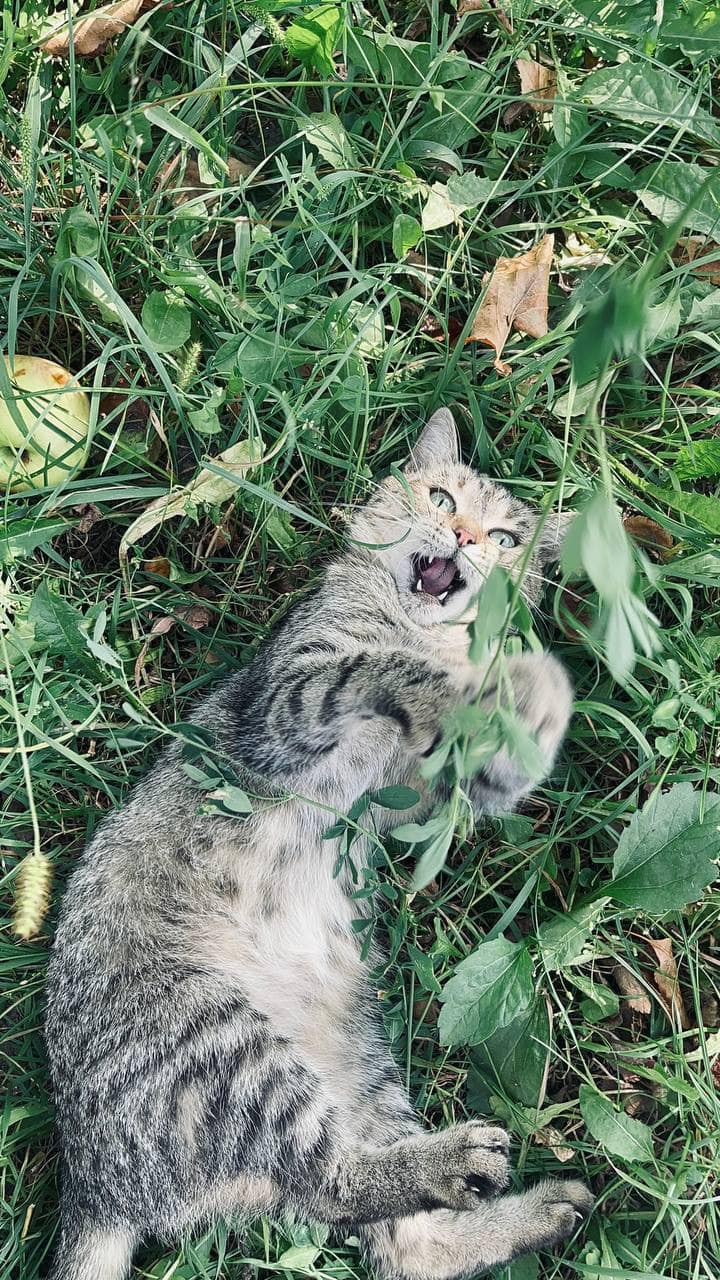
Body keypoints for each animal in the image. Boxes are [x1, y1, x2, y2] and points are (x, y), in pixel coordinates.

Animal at [45, 408, 592, 1280]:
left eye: (506, 538)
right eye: (443, 497)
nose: (466, 535)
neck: (429, 632)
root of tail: (92, 1183)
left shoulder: (416, 800)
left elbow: (470, 774)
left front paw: (518, 714)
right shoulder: (288, 701)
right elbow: (375, 669)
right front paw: (494, 690)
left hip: (358, 1063)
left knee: (409, 1244)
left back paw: (533, 1210)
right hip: (217, 1043)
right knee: (334, 1182)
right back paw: (457, 1162)